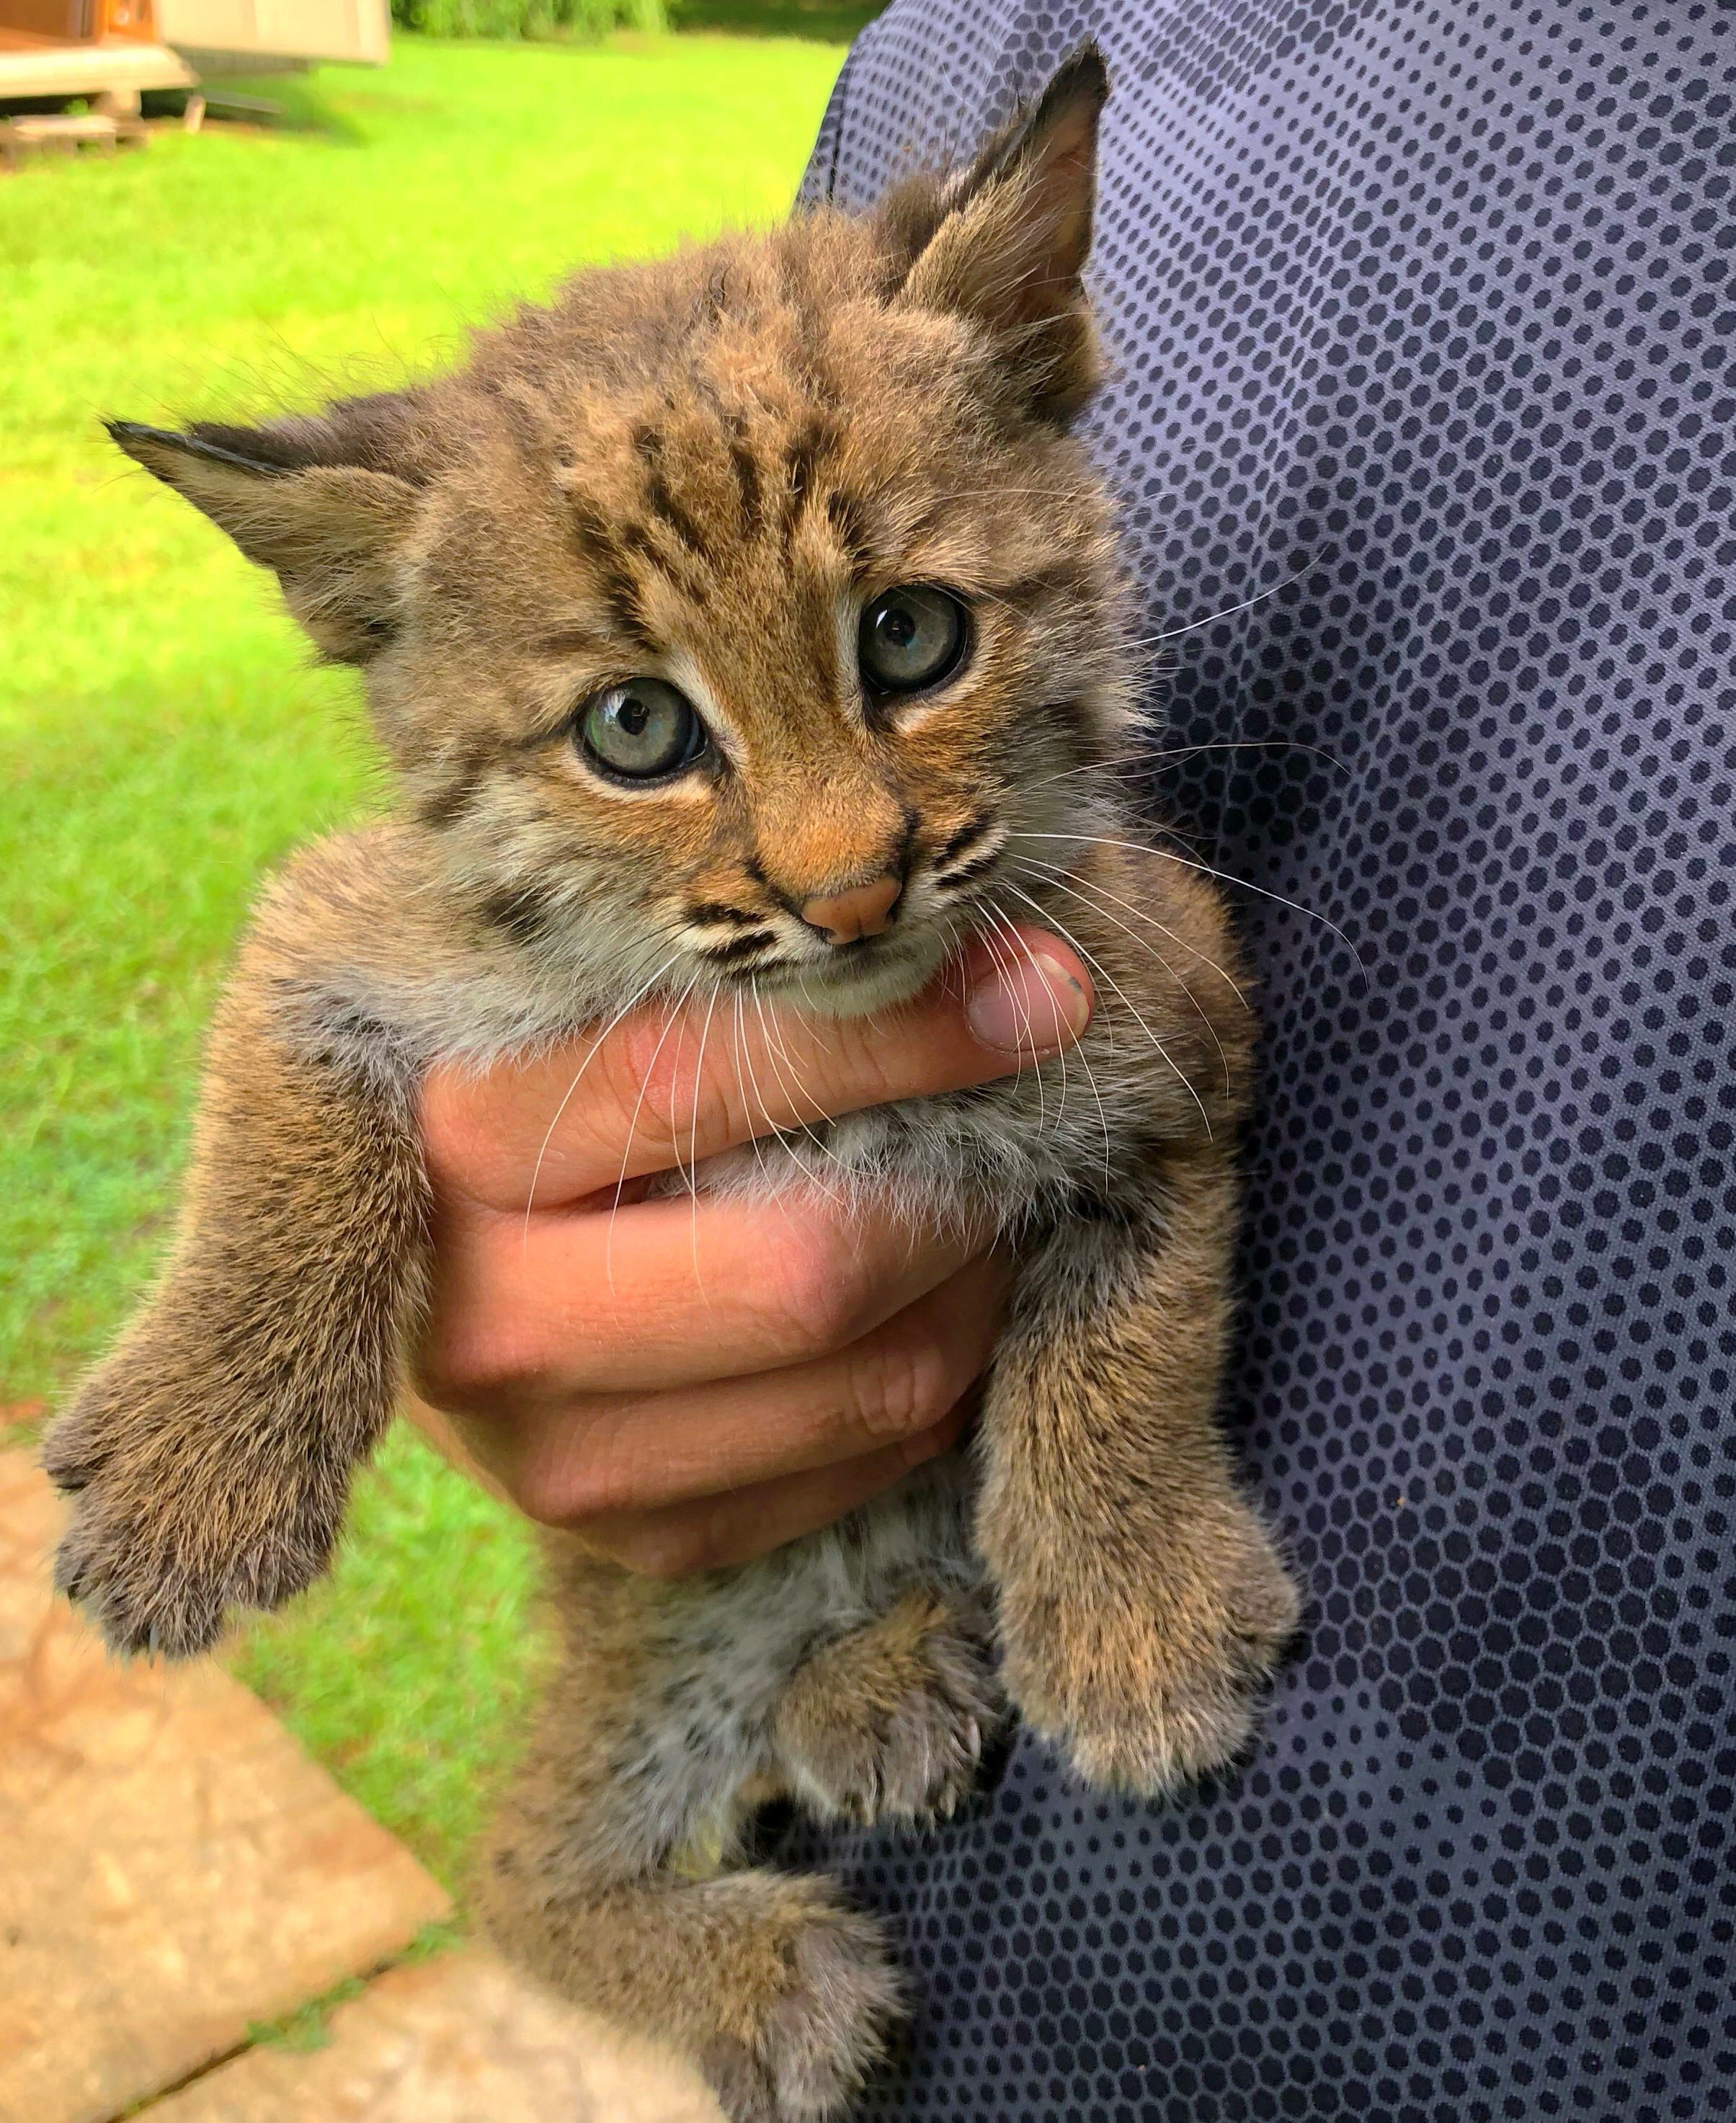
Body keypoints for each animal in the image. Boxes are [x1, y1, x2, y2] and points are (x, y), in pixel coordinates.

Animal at [40, 53, 1290, 2123]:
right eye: (635, 729)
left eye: (913, 635)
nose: (848, 886)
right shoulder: (339, 920)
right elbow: (290, 1129)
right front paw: (194, 1473)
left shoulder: (1174, 1012)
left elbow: (1114, 1348)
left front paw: (1128, 1612)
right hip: (649, 1646)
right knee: (514, 1880)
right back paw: (755, 1961)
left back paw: (876, 1689)